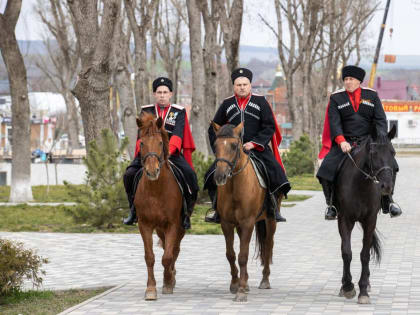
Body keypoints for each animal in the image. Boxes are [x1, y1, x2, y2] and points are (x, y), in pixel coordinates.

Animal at [135, 113, 185, 302]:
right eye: (142, 143)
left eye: (160, 143)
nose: (152, 171)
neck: (156, 190)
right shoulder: (145, 224)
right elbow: (150, 257)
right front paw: (151, 288)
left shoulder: (173, 224)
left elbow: (167, 256)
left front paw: (168, 282)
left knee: (174, 250)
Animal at [212, 122, 280, 302]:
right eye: (215, 145)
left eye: (234, 146)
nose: (220, 176)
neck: (235, 186)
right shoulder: (227, 223)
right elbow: (231, 254)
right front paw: (235, 284)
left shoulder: (248, 222)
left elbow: (243, 255)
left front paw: (241, 290)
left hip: (270, 221)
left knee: (268, 245)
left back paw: (265, 280)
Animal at [334, 124, 396, 304]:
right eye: (373, 153)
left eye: (393, 152)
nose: (386, 186)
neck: (360, 184)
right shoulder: (344, 219)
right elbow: (346, 252)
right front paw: (348, 287)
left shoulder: (370, 220)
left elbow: (365, 255)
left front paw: (363, 290)